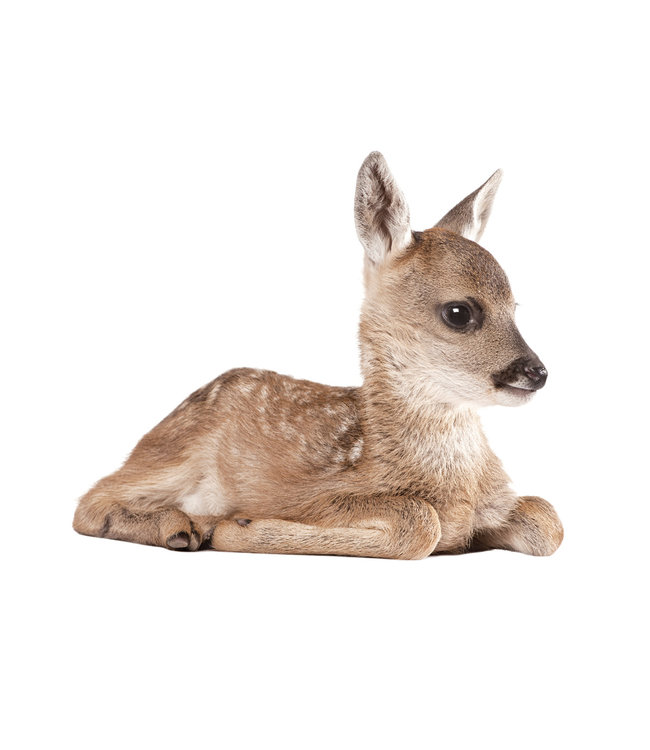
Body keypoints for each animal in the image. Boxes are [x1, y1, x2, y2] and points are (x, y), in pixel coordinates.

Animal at [73, 152, 563, 560]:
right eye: (459, 312)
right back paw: (182, 527)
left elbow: (548, 519)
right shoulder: (315, 494)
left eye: (514, 306)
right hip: (175, 453)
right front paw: (237, 526)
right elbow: (420, 521)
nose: (536, 372)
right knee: (89, 502)